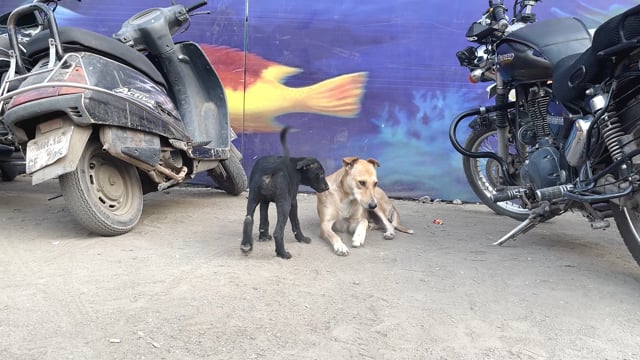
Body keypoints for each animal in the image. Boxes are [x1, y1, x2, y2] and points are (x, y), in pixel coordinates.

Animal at [240, 126, 330, 258]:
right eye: (321, 173)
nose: (328, 187)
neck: (297, 168)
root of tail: (271, 168)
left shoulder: (264, 201)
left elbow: (264, 219)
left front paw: (263, 236)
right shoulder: (293, 201)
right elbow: (296, 222)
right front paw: (302, 238)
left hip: (252, 198)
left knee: (248, 220)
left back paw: (246, 245)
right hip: (284, 204)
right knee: (278, 231)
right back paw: (283, 253)